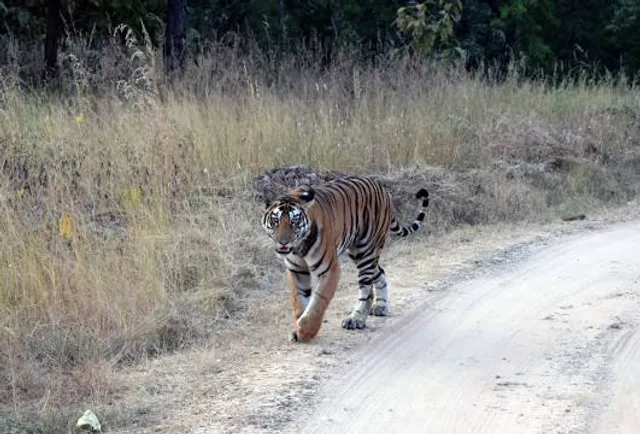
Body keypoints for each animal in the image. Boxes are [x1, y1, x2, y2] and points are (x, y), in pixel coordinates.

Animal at [261, 175, 429, 342]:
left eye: (294, 222)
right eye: (275, 221)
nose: (283, 242)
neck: (299, 246)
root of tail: (382, 188)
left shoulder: (329, 269)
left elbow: (318, 301)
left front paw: (306, 331)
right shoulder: (296, 270)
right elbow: (299, 300)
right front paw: (298, 328)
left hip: (366, 251)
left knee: (367, 290)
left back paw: (356, 319)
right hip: (357, 253)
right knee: (380, 272)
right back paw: (381, 306)